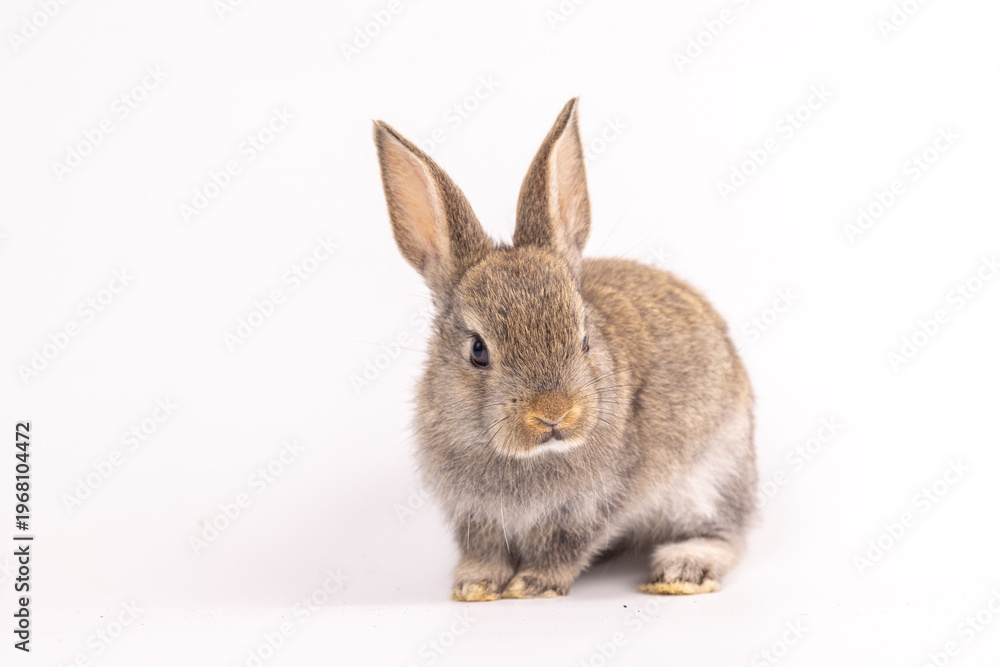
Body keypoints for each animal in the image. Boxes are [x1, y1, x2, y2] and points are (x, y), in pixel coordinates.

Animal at [372, 98, 757, 601]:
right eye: (478, 350)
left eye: (585, 338)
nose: (553, 412)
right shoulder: (473, 514)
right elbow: (484, 549)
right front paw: (476, 586)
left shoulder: (591, 506)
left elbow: (564, 547)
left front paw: (531, 586)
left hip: (715, 474)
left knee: (725, 533)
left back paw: (681, 572)